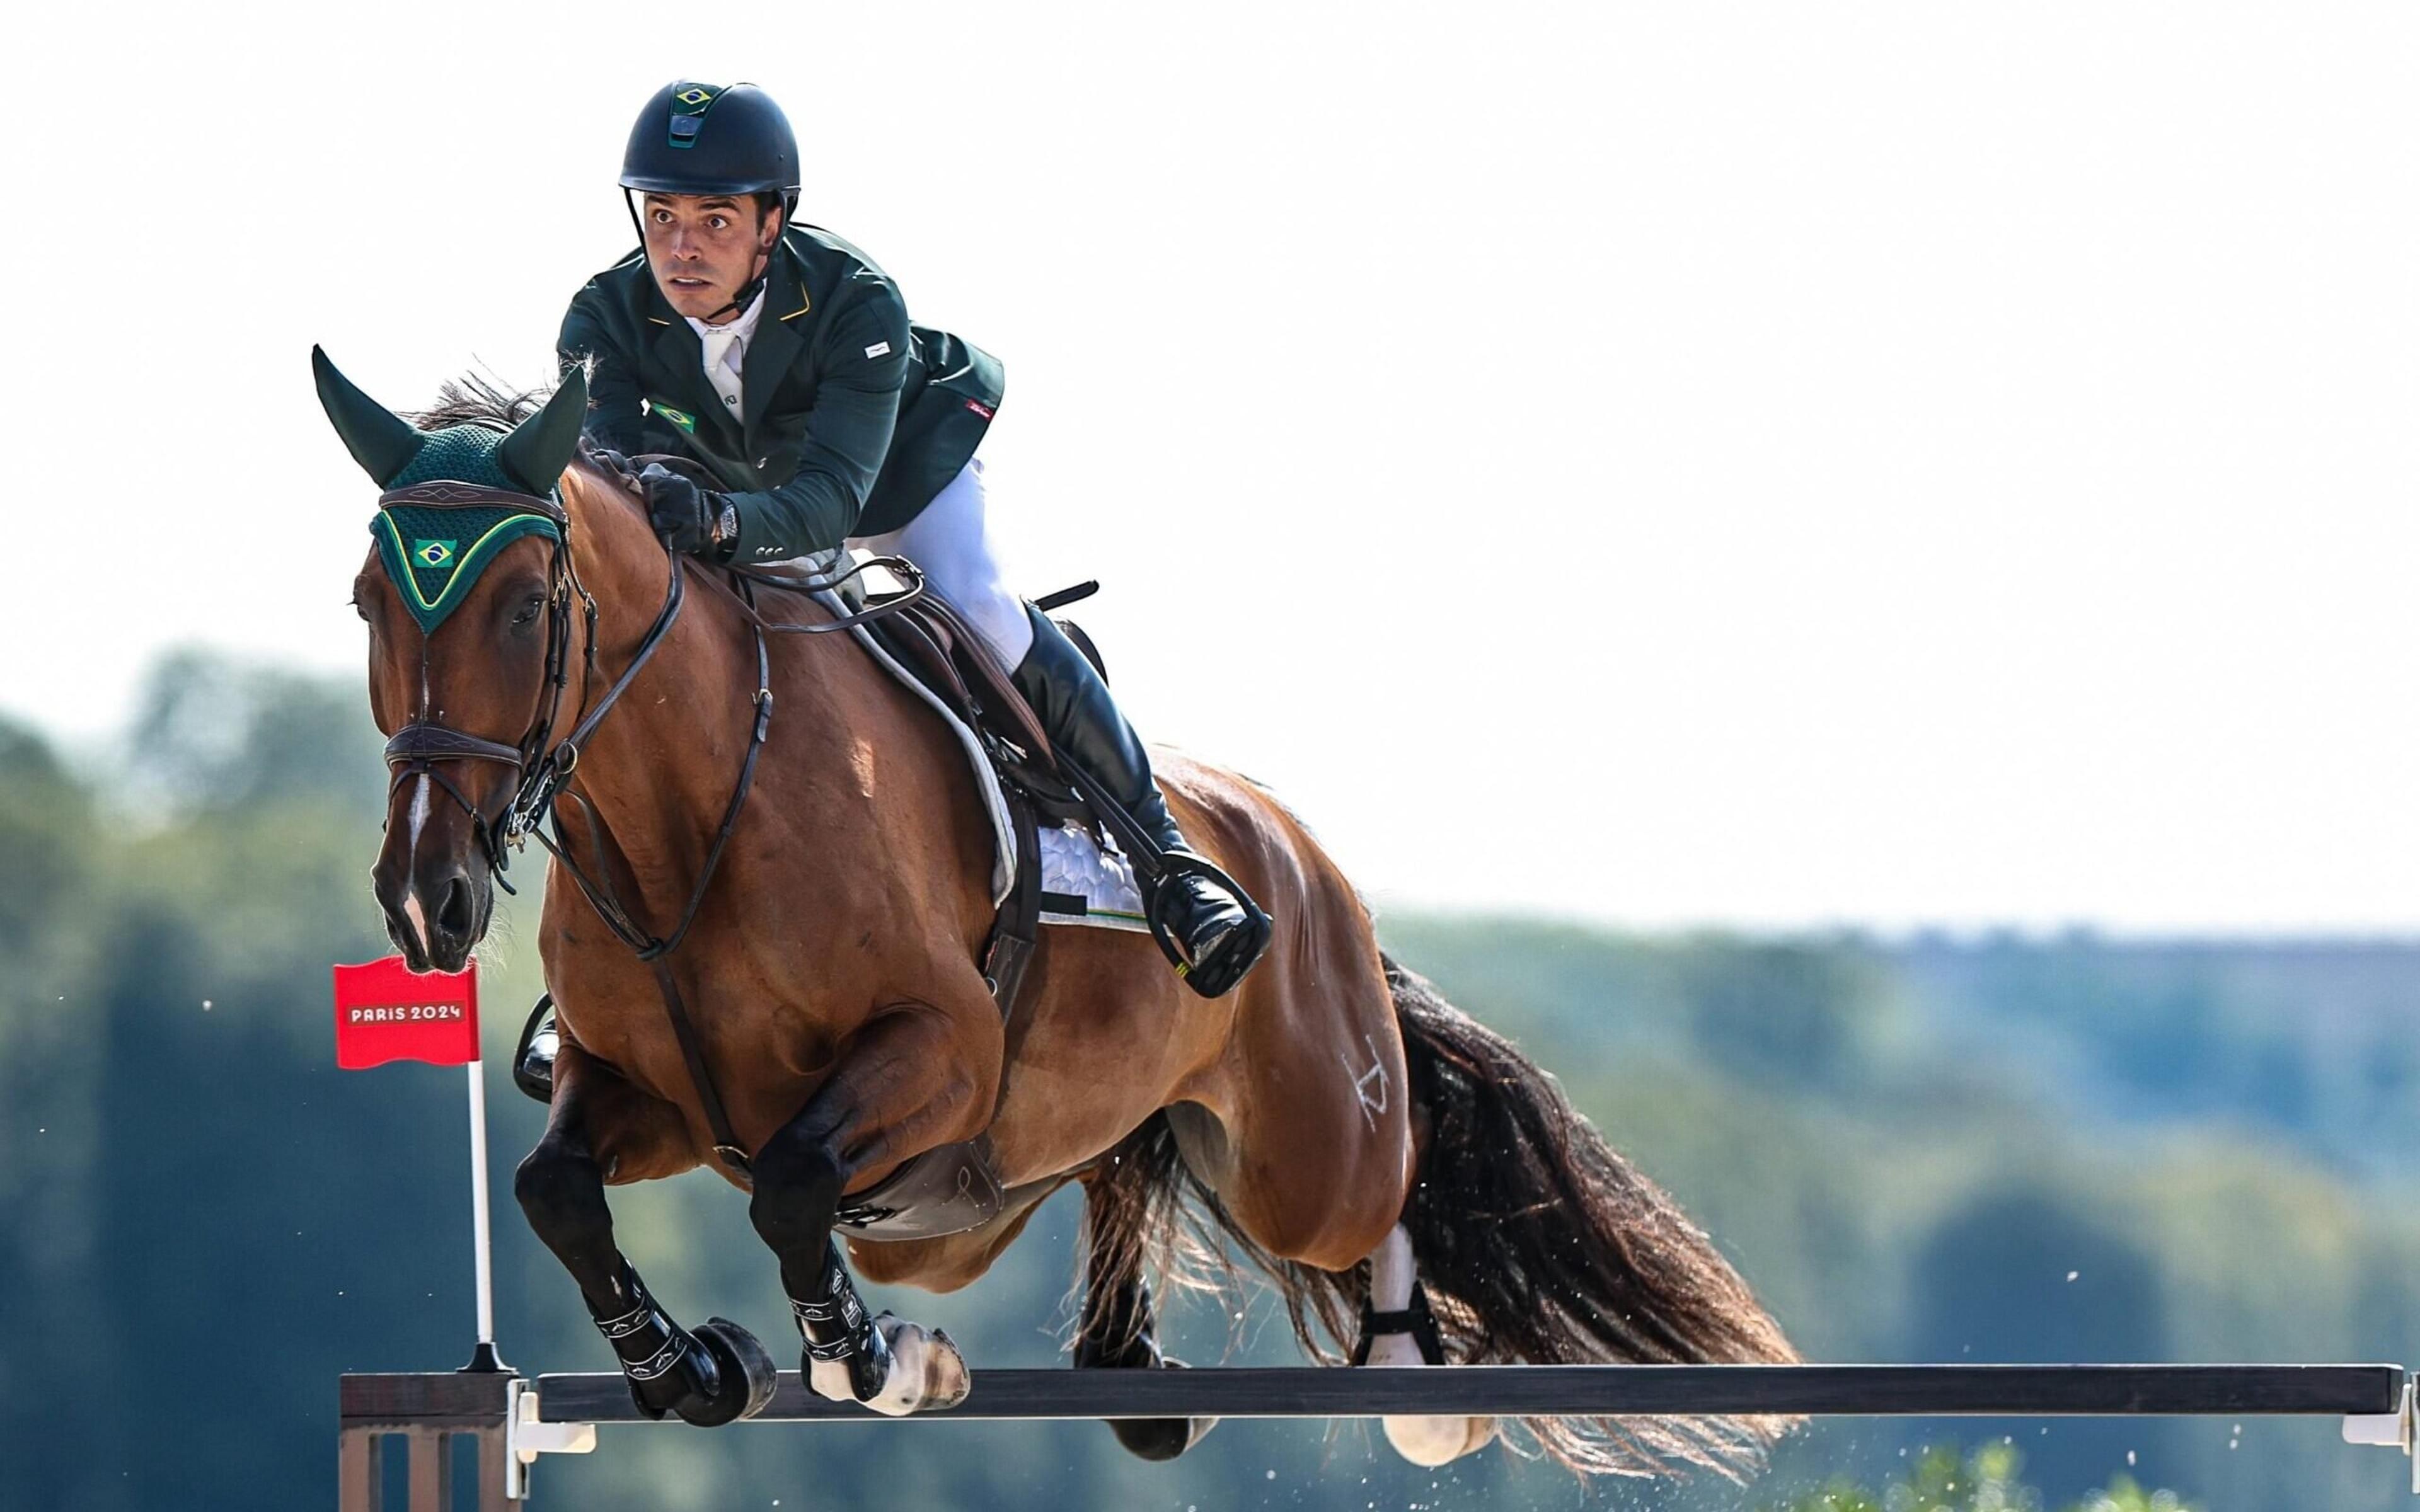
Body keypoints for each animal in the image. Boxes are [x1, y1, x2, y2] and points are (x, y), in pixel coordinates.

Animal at [321, 350, 1800, 1470]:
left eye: (527, 607)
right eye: (368, 600)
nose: (426, 897)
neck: (688, 821)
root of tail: (1301, 857)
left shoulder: (940, 1055)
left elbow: (796, 1188)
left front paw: (871, 1361)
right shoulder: (653, 1093)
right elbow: (553, 1190)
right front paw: (690, 1365)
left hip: (1304, 1149)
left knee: (1384, 1180)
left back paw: (1418, 1385)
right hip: (1002, 1203)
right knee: (1121, 1161)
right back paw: (1130, 1370)